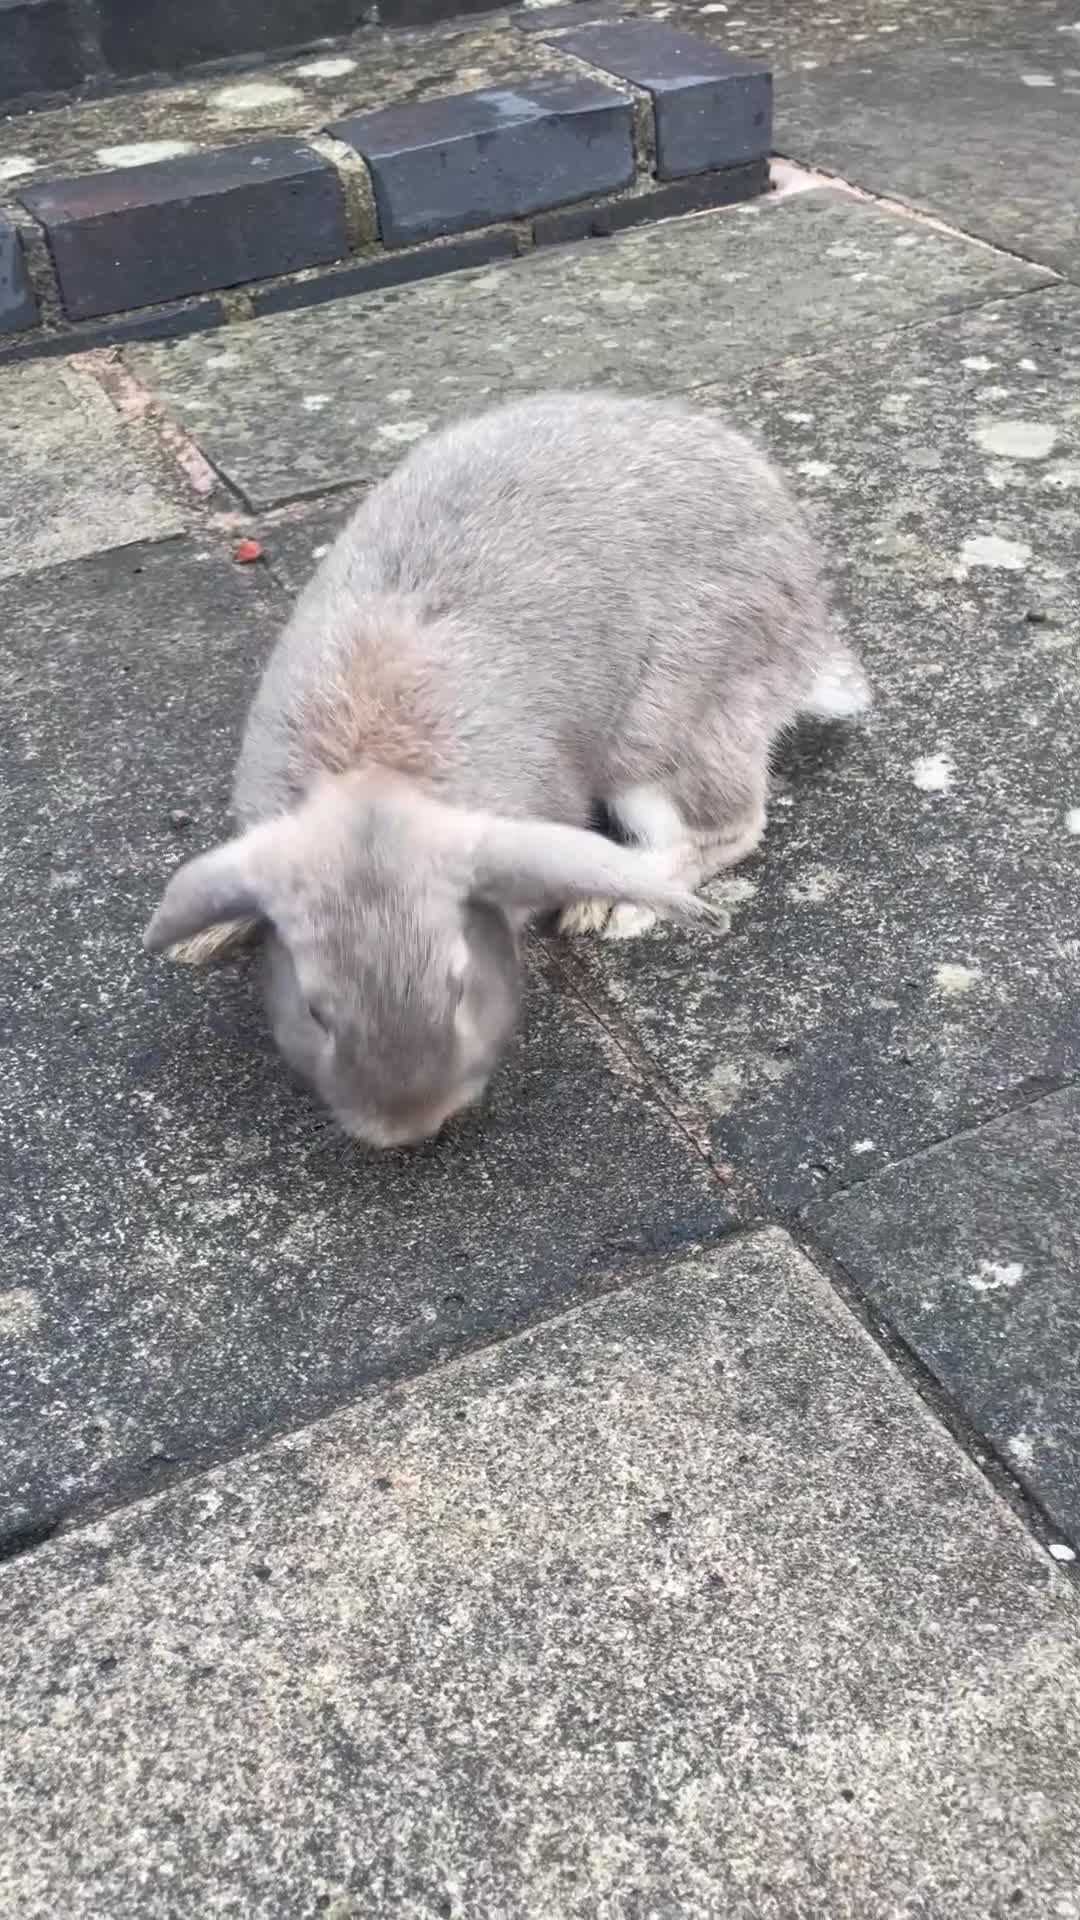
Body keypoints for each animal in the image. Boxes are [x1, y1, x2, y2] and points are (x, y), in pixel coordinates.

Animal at [144, 390, 869, 1148]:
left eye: (459, 986)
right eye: (315, 1010)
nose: (408, 1126)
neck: (374, 775)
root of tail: (808, 628)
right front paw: (210, 933)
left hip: (664, 732)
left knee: (730, 825)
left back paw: (615, 905)